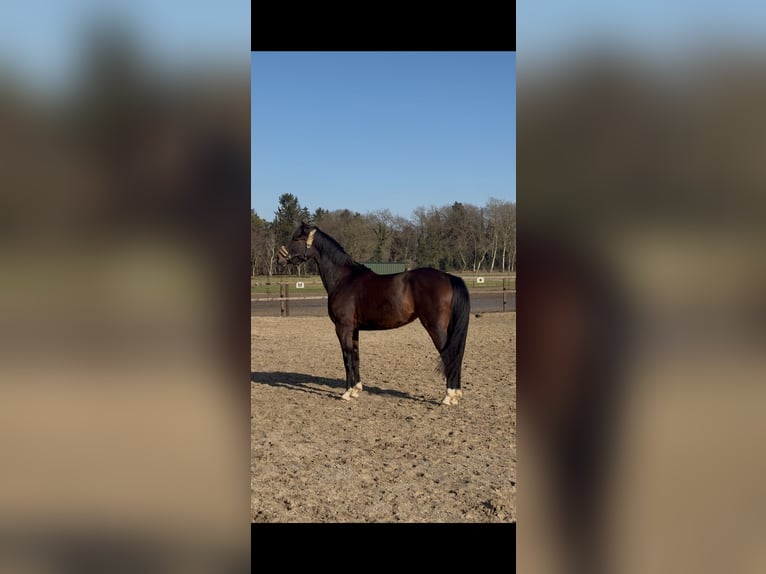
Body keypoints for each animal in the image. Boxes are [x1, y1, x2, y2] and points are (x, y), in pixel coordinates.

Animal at [277, 221, 470, 405]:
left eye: (296, 238)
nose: (279, 258)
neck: (344, 279)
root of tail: (448, 277)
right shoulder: (354, 330)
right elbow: (356, 357)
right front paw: (356, 390)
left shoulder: (342, 328)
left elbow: (347, 357)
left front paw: (346, 393)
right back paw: (456, 395)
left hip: (435, 328)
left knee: (449, 356)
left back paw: (449, 396)